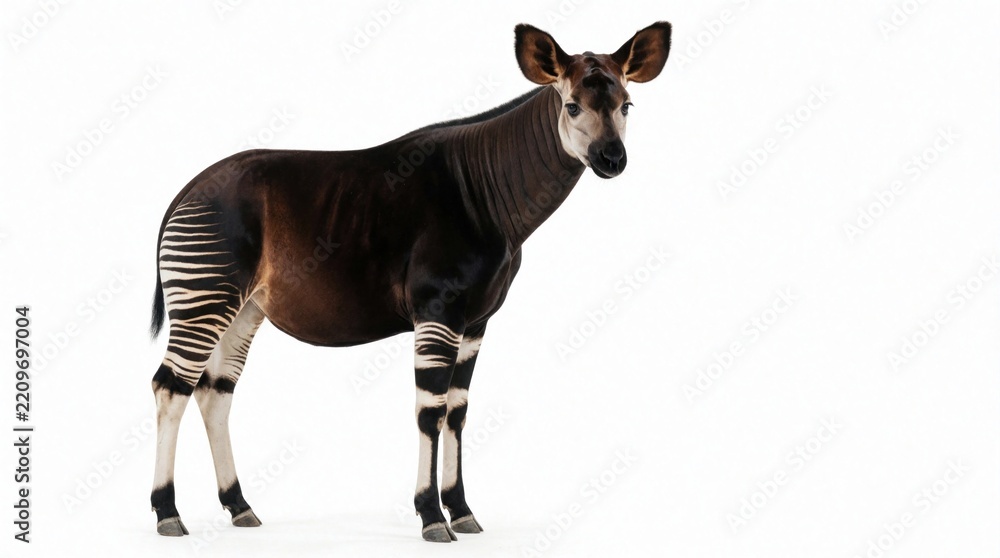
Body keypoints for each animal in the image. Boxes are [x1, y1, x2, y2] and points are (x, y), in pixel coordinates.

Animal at [148, 21, 671, 542]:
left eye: (626, 104)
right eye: (572, 106)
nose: (612, 158)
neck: (489, 197)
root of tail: (186, 191)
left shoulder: (475, 321)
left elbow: (457, 410)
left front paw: (462, 511)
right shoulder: (438, 309)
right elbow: (430, 411)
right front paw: (431, 516)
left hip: (243, 306)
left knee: (214, 391)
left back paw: (239, 506)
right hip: (206, 293)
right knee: (170, 386)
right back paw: (168, 513)